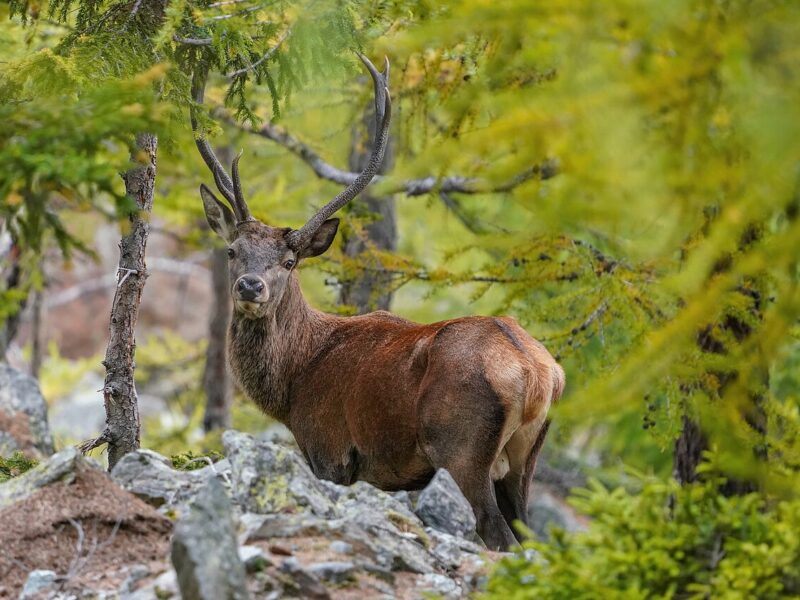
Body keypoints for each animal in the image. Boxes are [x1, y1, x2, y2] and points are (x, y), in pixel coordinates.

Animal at [191, 54, 565, 550]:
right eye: (233, 250)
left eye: (290, 261)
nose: (251, 287)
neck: (294, 381)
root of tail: (538, 372)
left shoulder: (329, 450)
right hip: (524, 460)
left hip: (462, 449)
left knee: (498, 536)